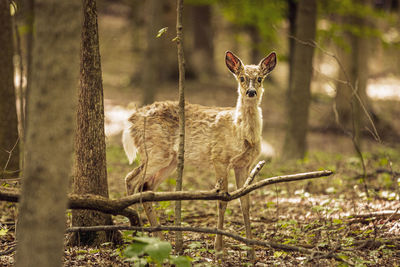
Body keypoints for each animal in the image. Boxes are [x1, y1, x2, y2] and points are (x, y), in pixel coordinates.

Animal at [123, 50, 276, 260]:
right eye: (242, 78)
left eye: (260, 78)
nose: (251, 92)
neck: (240, 132)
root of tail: (131, 120)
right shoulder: (219, 157)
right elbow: (222, 200)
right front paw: (219, 249)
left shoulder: (244, 164)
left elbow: (245, 203)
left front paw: (251, 253)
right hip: (155, 151)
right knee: (132, 180)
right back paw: (136, 237)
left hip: (169, 160)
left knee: (147, 187)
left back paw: (157, 239)